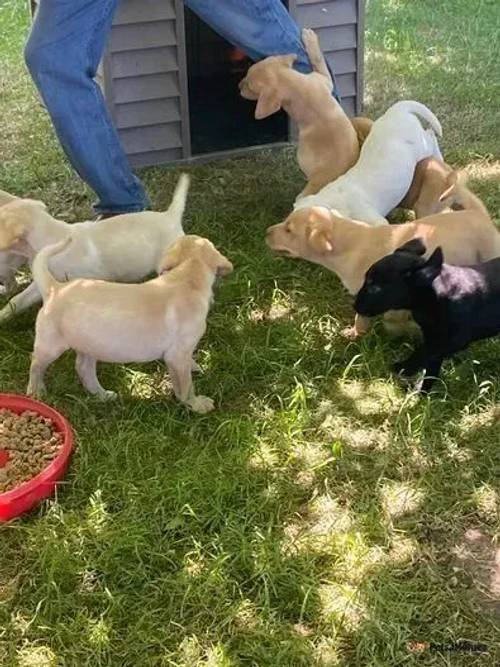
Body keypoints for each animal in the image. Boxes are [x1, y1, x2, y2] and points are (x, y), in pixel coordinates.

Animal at [25, 235, 232, 412]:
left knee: (83, 369)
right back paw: (36, 392)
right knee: (36, 364)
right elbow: (185, 385)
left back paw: (103, 395)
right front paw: (196, 404)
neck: (187, 276)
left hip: (90, 343)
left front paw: (195, 367)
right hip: (51, 346)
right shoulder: (177, 355)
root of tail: (55, 288)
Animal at [239, 28, 360, 198]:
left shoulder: (322, 78)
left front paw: (309, 39)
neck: (294, 84)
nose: (238, 86)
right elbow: (319, 61)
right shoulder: (322, 80)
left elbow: (318, 60)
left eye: (249, 86)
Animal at [292, 99, 442, 224]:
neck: (335, 200)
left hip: (420, 146)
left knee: (430, 135)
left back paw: (439, 157)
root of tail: (397, 109)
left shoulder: (375, 220)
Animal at [354, 240, 500, 394]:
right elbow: (429, 367)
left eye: (375, 288)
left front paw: (406, 369)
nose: (355, 305)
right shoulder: (431, 336)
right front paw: (421, 393)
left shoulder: (451, 340)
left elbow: (423, 353)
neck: (434, 296)